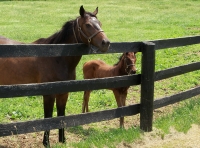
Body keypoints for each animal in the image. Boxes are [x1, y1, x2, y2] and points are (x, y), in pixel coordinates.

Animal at [0, 5, 109, 147]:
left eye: (100, 23)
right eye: (88, 25)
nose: (106, 42)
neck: (56, 57)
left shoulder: (63, 93)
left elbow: (61, 116)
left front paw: (63, 140)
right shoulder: (48, 94)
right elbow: (48, 117)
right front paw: (46, 142)